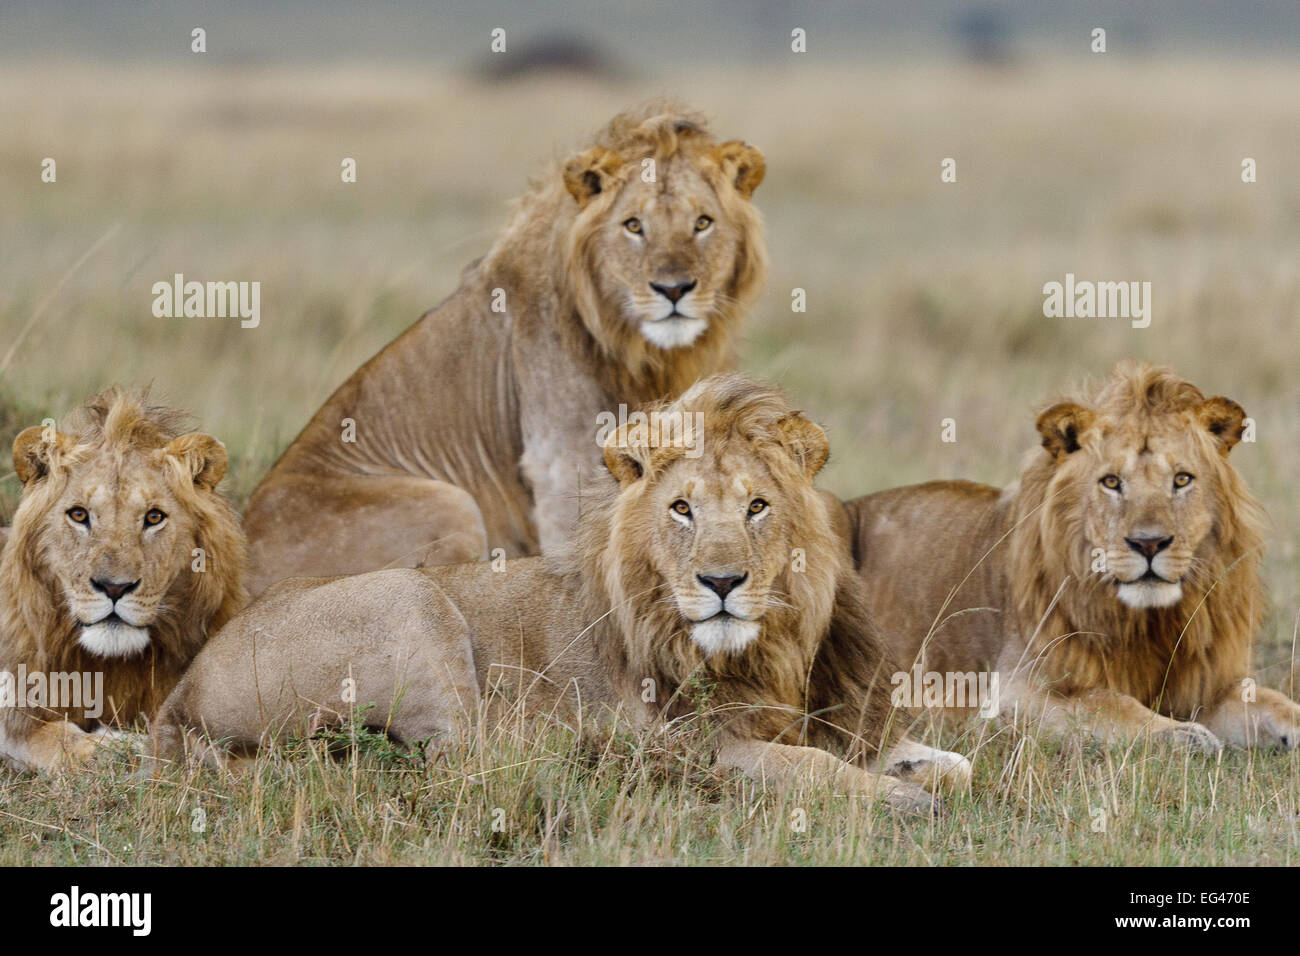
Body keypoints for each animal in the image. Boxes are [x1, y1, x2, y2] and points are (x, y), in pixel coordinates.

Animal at [0, 388, 246, 772]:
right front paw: (117, 745)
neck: (113, 665)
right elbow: (51, 739)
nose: (114, 587)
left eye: (154, 517)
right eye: (79, 514)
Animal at [149, 376, 970, 811]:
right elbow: (810, 769)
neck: (766, 650)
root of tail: (181, 689)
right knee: (472, 763)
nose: (722, 582)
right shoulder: (706, 739)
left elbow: (950, 760)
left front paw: (920, 774)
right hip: (411, 599)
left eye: (758, 507)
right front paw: (905, 800)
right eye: (682, 509)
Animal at [242, 100, 769, 597]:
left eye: (702, 223)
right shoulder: (560, 467)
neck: (645, 352)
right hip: (449, 504)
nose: (673, 288)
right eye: (634, 226)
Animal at [844, 361, 1300, 752]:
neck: (1151, 623)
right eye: (1111, 482)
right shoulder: (1014, 691)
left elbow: (1275, 701)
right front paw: (1180, 735)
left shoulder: (1211, 683)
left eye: (1182, 480)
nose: (1149, 544)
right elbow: (1109, 703)